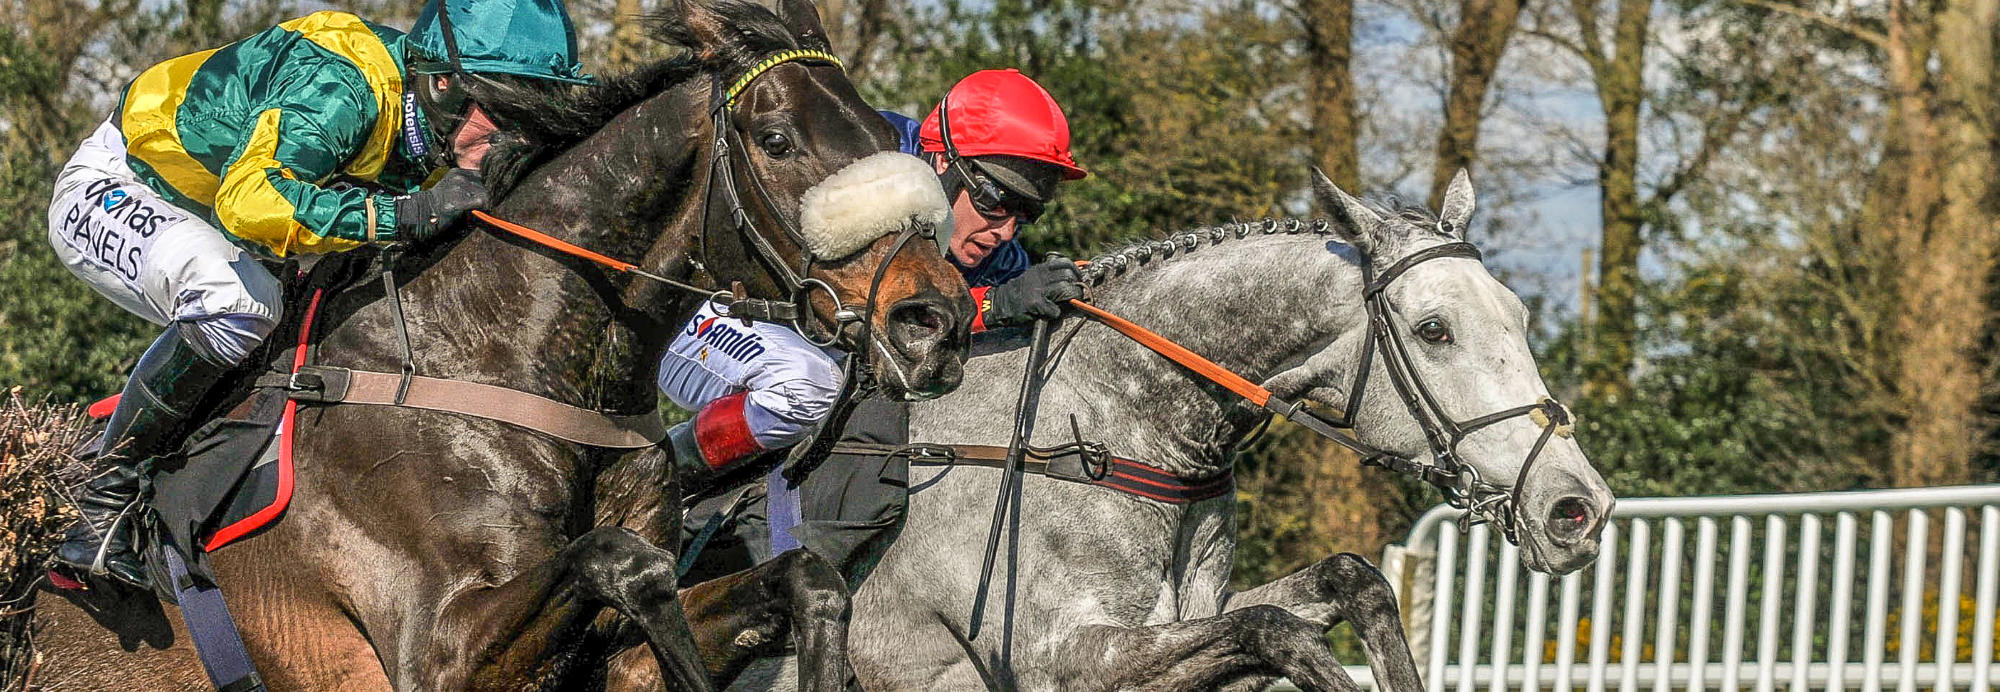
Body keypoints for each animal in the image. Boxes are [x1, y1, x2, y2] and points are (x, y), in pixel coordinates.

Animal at [23, 1, 972, 692]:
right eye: (776, 140)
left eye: (886, 136)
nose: (937, 319)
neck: (497, 361)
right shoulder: (436, 655)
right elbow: (623, 562)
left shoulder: (617, 651)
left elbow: (806, 576)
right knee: (229, 307)